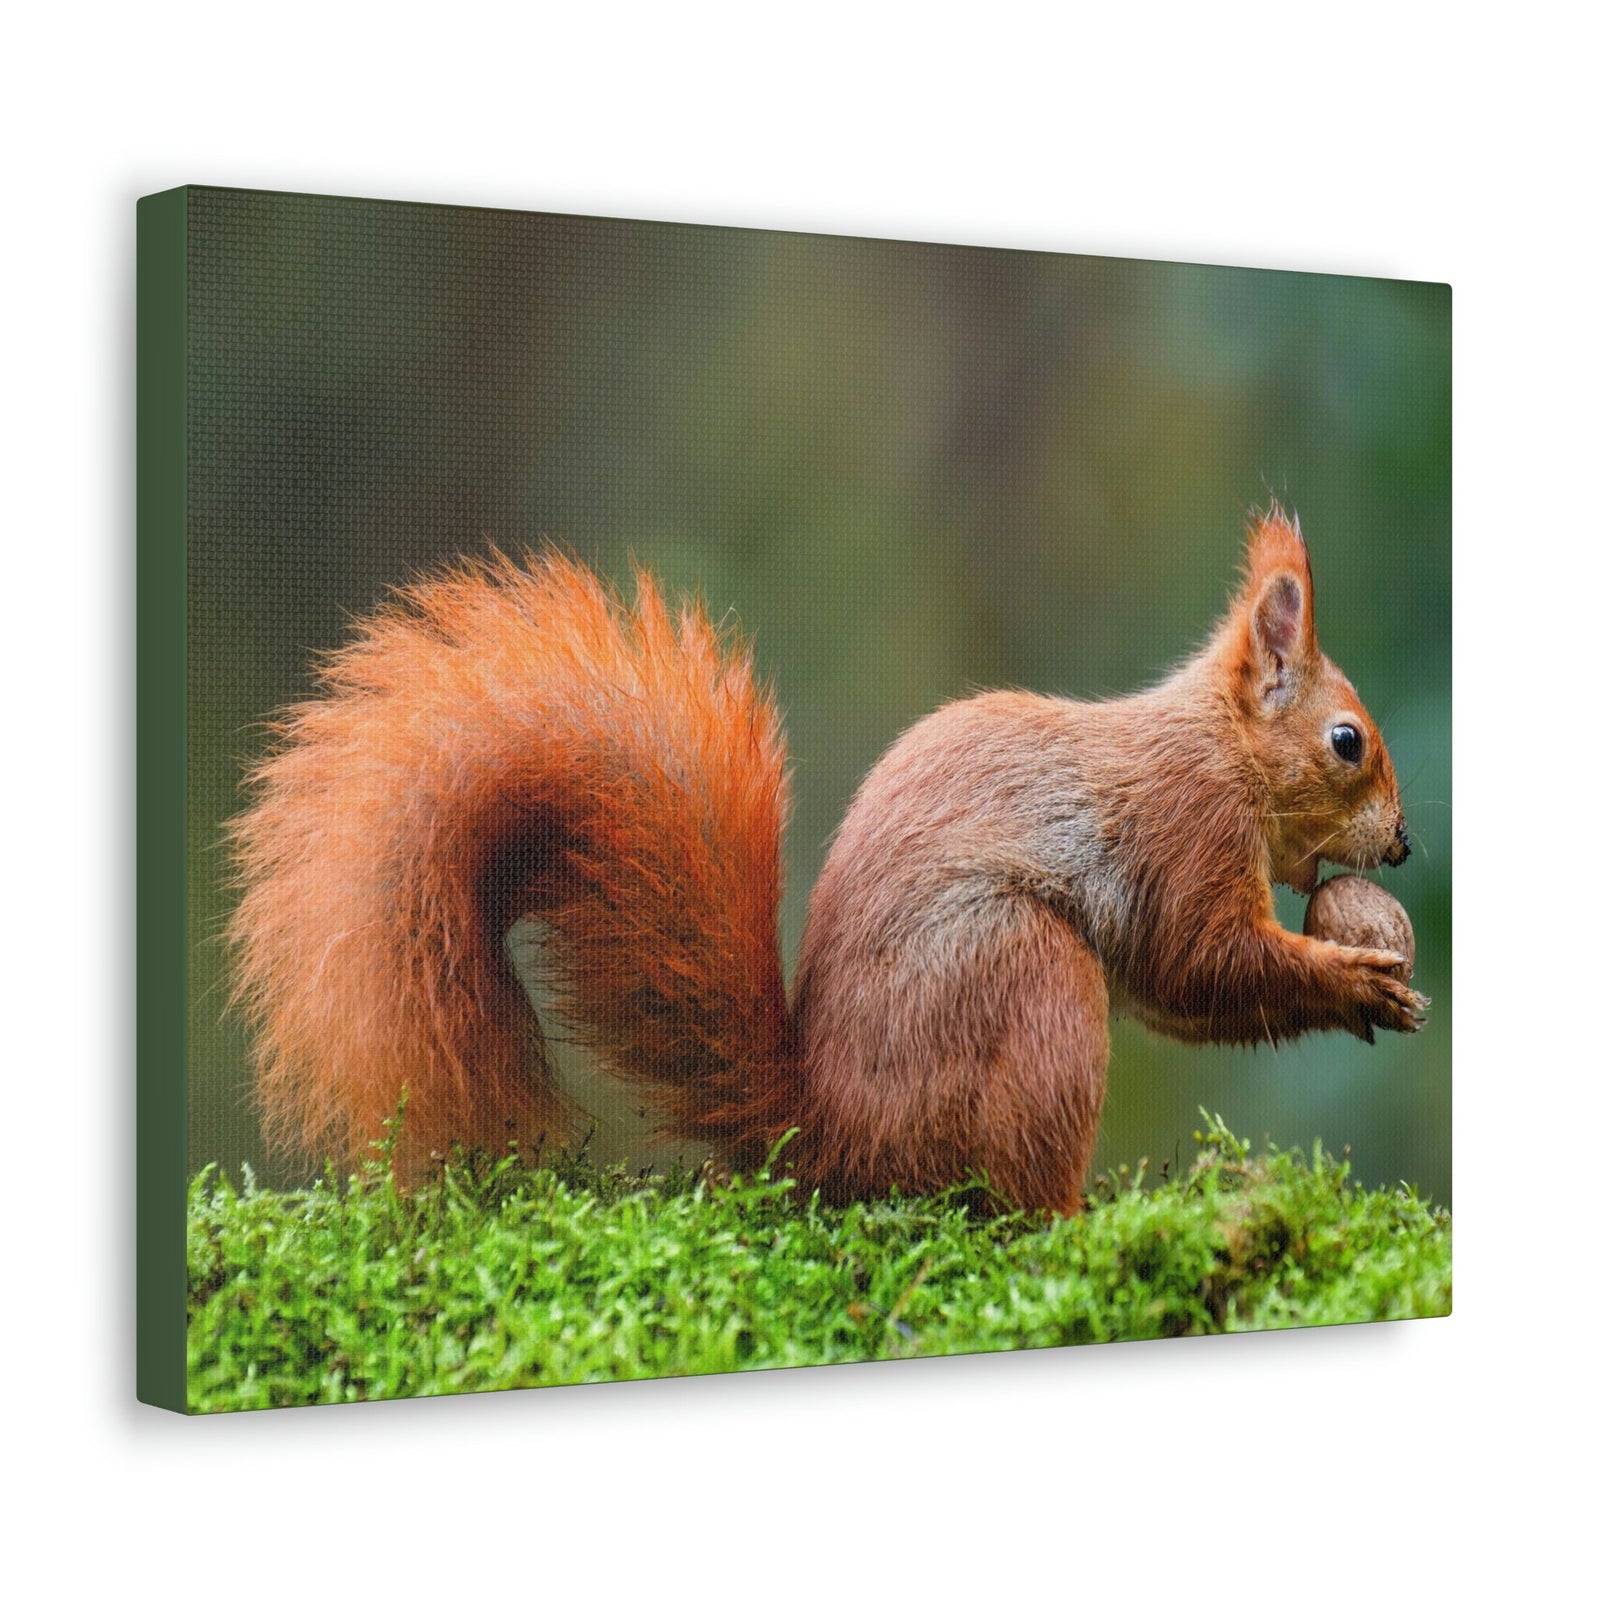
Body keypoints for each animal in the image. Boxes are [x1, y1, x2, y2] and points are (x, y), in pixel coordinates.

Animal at [228, 504, 1426, 1214]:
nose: (1407, 843)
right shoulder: (1185, 834)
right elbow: (1202, 961)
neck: (1220, 750)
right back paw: (1073, 1221)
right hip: (1021, 975)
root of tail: (826, 1137)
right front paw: (1354, 978)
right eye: (1346, 742)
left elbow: (1185, 994)